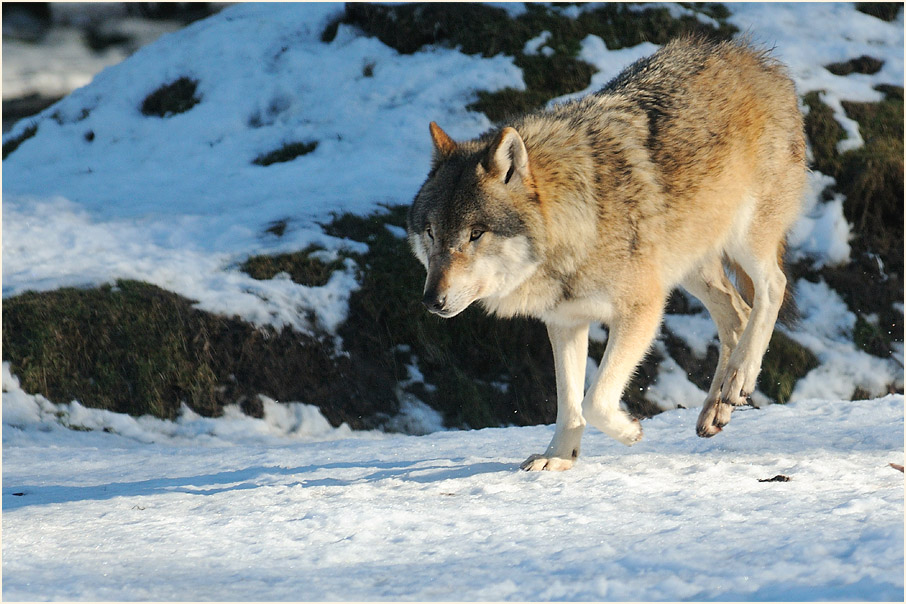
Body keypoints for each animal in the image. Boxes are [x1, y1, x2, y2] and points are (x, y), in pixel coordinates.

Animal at [407, 37, 806, 471]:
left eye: (476, 234)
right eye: (431, 233)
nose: (431, 301)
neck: (580, 222)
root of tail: (755, 56)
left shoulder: (643, 309)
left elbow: (594, 401)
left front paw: (630, 431)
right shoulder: (565, 322)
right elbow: (568, 404)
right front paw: (558, 458)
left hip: (743, 241)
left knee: (772, 288)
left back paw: (739, 379)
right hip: (690, 265)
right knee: (737, 315)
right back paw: (717, 408)